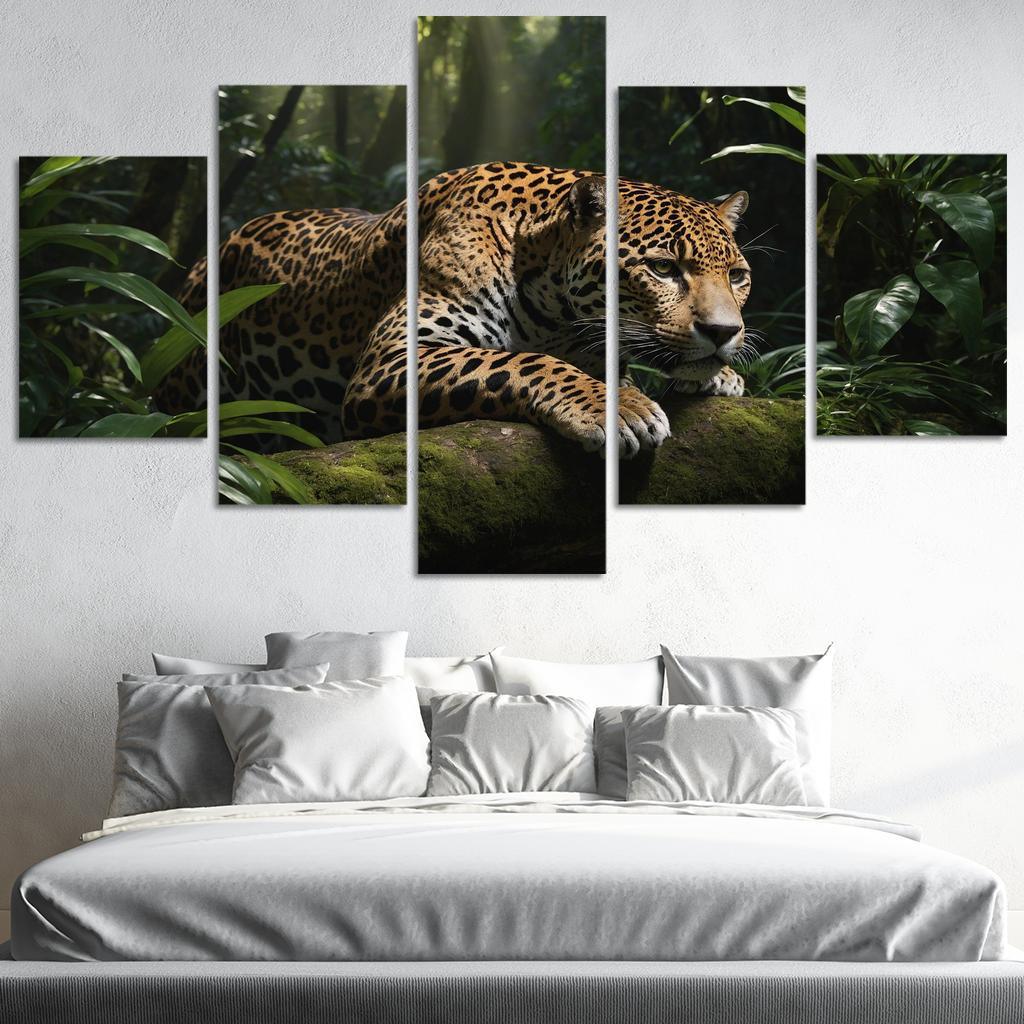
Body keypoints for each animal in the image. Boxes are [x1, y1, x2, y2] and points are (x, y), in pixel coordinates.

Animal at [159, 162, 752, 459]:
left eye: (738, 276)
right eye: (663, 268)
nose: (724, 332)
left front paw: (717, 376)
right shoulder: (393, 359)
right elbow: (521, 361)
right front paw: (618, 407)